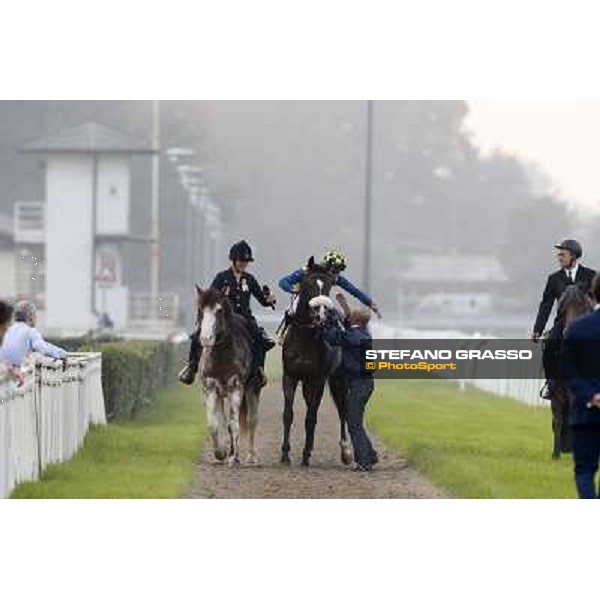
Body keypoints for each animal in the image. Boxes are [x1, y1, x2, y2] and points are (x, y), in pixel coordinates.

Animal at [197, 284, 262, 464]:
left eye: (219, 310)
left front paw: (233, 458)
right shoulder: (210, 387)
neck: (222, 356)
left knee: (251, 420)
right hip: (221, 394)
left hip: (252, 389)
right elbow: (214, 424)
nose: (205, 339)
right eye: (200, 309)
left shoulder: (236, 387)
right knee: (223, 421)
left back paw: (250, 456)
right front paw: (221, 453)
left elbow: (234, 425)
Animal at [280, 255, 352, 466]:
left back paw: (345, 451)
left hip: (338, 379)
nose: (321, 316)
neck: (305, 336)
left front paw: (304, 455)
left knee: (343, 410)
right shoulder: (290, 376)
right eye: (308, 284)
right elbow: (288, 414)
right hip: (307, 383)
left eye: (328, 286)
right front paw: (285, 454)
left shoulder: (319, 379)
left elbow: (311, 417)